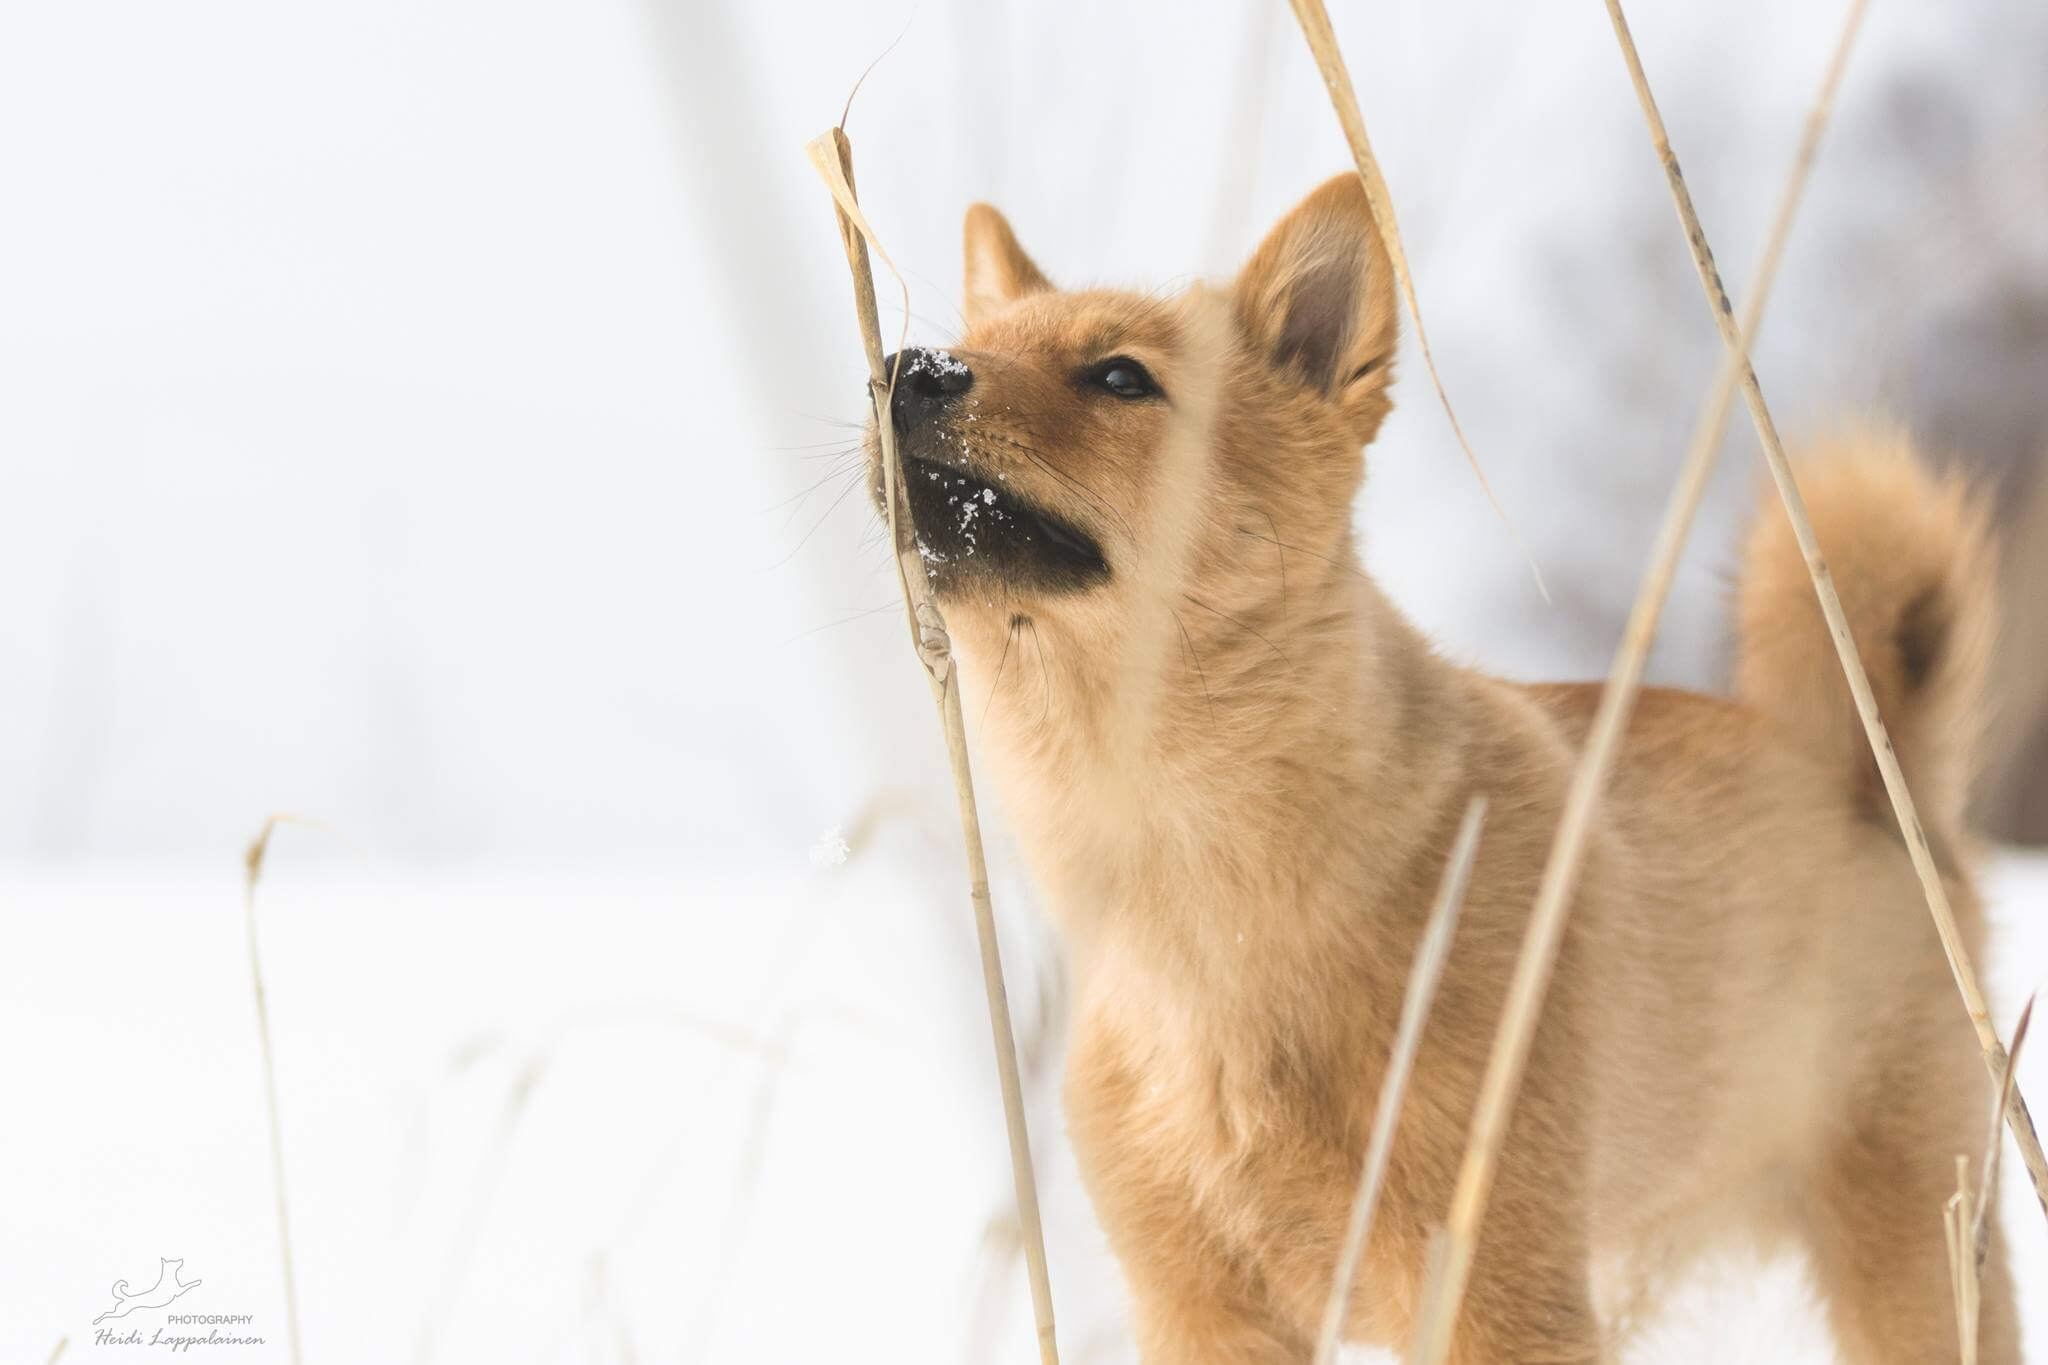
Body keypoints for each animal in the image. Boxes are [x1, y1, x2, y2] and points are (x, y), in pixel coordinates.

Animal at [860, 175, 2015, 1358]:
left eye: (1120, 376)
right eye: (971, 343)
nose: (906, 369)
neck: (1210, 923)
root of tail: (1873, 780)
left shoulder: (1498, 1287)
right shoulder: (1203, 1308)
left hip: (1914, 1251)